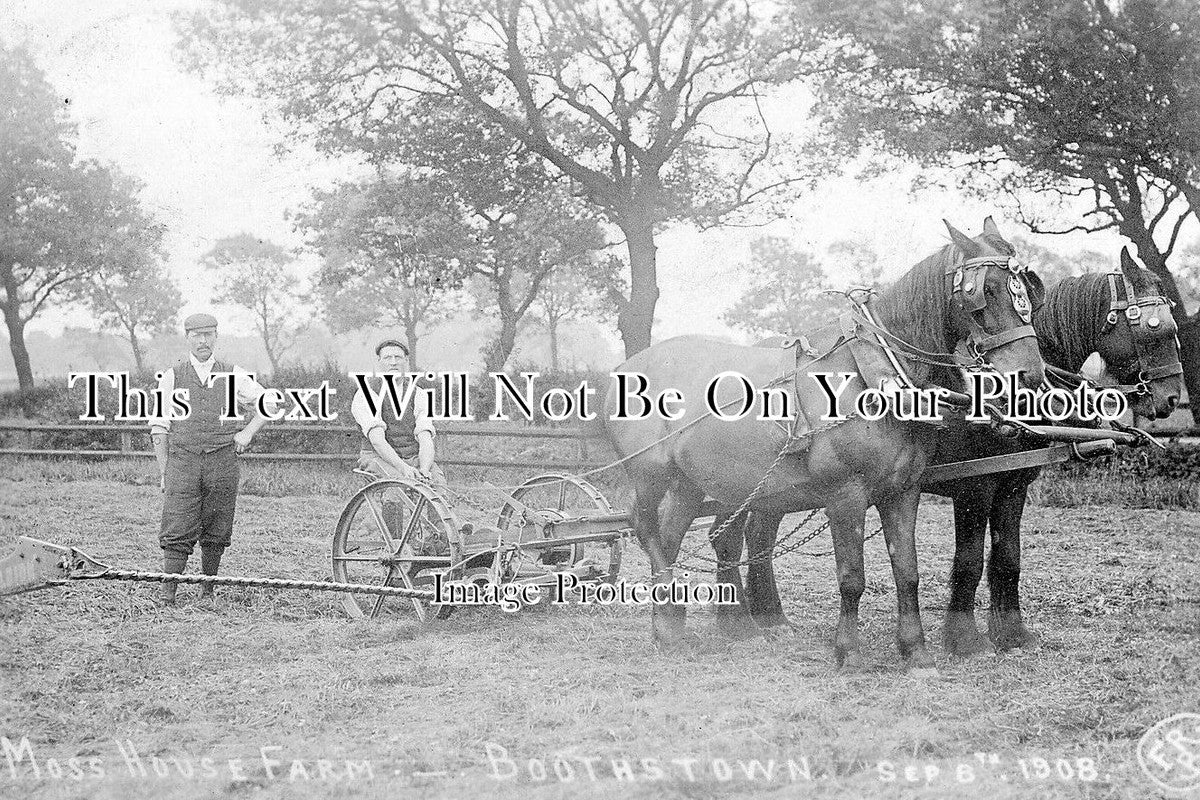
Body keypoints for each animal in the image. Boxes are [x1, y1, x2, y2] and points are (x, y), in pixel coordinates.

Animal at [604, 215, 1046, 671]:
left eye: (1029, 290)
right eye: (985, 291)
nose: (1030, 374)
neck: (874, 374)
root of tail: (624, 365)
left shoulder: (903, 490)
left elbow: (907, 571)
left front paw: (916, 653)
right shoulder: (845, 494)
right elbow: (852, 577)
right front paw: (848, 651)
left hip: (695, 482)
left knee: (672, 535)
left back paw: (672, 627)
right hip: (651, 475)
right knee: (646, 528)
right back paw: (678, 625)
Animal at [724, 248, 1185, 657]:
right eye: (1154, 331)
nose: (1170, 399)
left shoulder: (1013, 485)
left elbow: (1007, 558)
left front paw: (1012, 633)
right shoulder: (974, 488)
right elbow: (969, 562)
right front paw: (965, 640)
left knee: (757, 533)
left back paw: (769, 615)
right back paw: (754, 618)